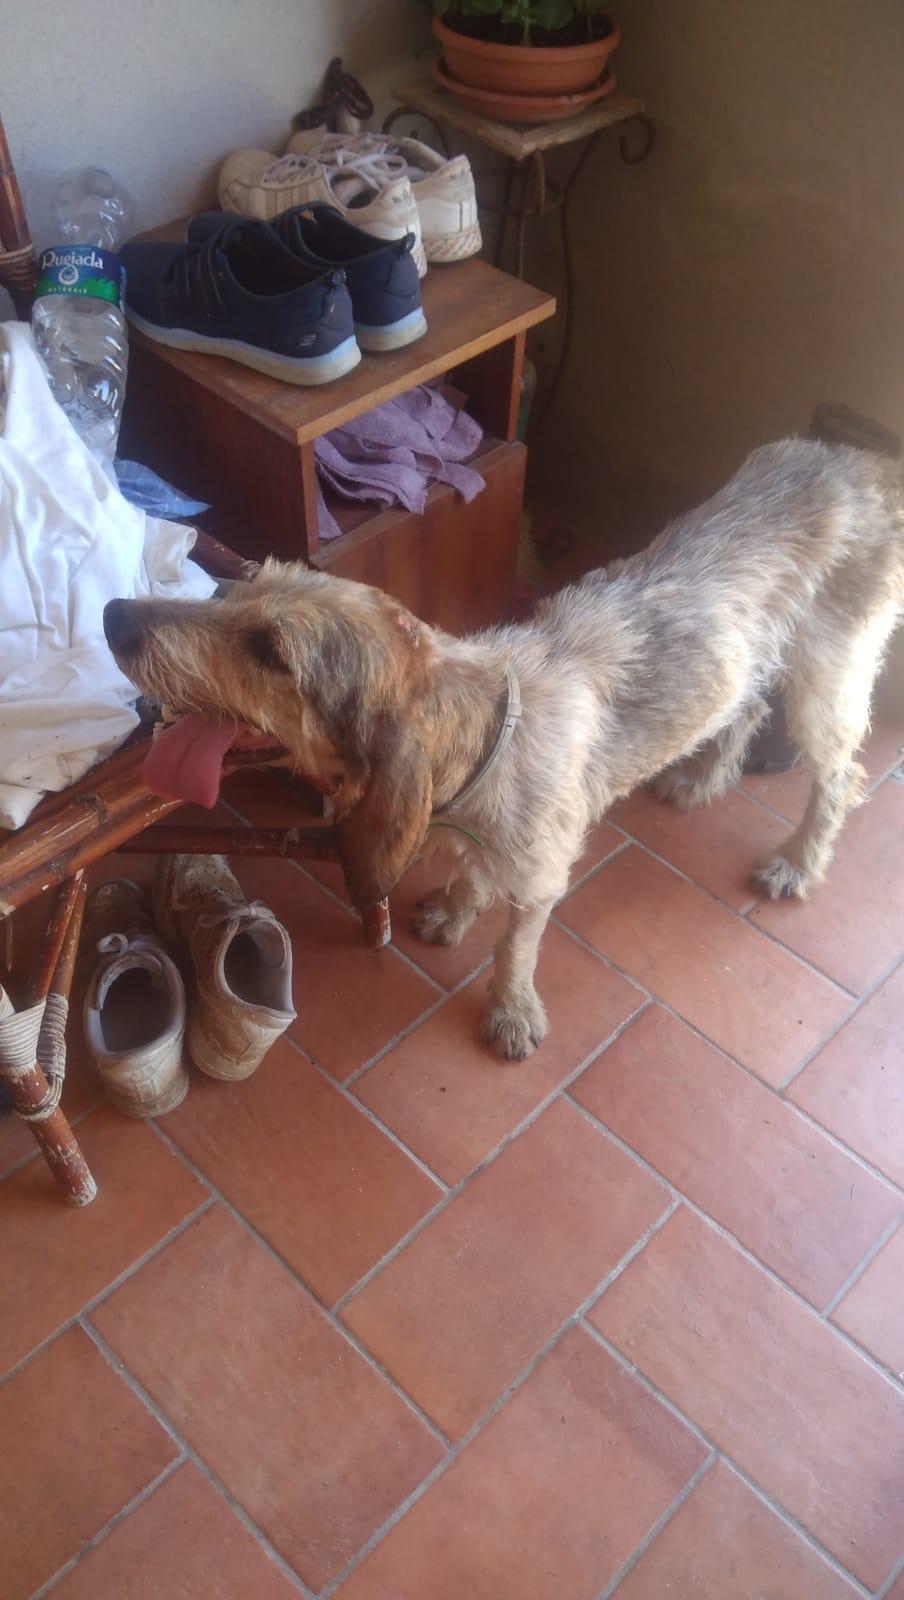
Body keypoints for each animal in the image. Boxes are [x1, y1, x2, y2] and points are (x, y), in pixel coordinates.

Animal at [104, 438, 904, 1060]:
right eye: (235, 591)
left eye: (269, 649)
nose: (115, 615)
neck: (488, 732)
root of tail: (864, 464)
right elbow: (471, 873)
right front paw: (459, 908)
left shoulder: (543, 874)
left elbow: (514, 947)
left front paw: (510, 1011)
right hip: (756, 662)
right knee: (748, 705)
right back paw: (704, 778)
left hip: (826, 679)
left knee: (840, 777)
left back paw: (797, 860)